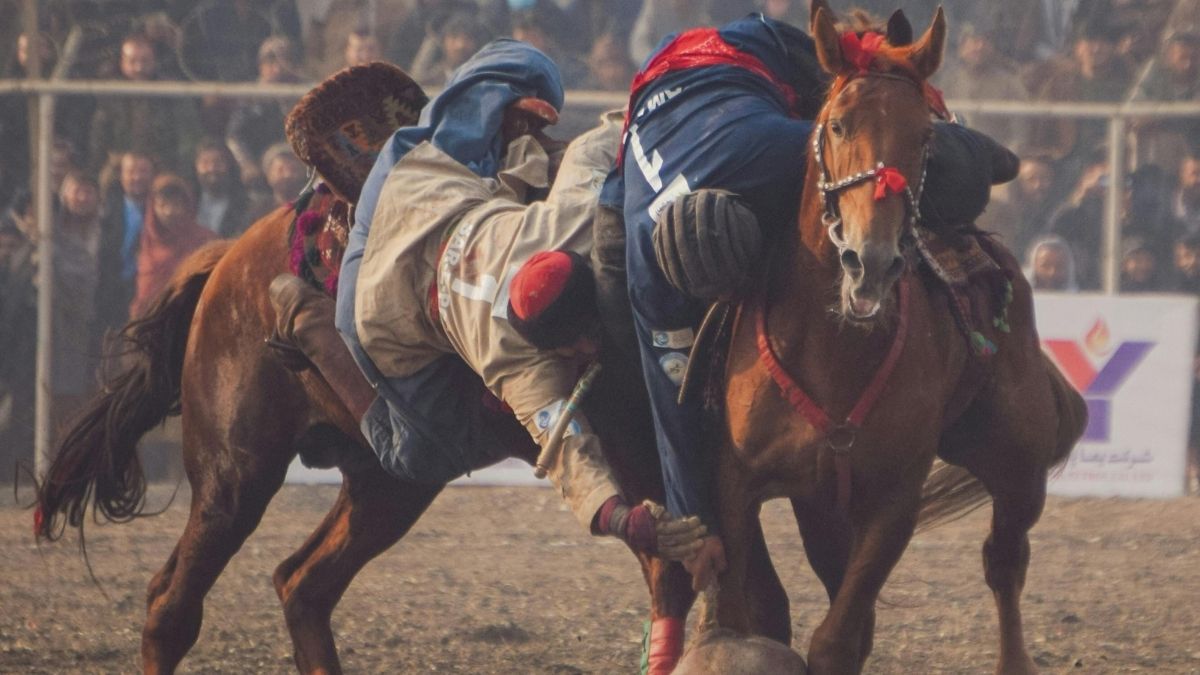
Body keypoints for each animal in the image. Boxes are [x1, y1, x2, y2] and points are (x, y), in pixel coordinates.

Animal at [31, 196, 718, 674]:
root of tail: (227, 260)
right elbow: (671, 568)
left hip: (388, 481)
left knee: (302, 585)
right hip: (235, 476)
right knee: (172, 605)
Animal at [713, 4, 1088, 675]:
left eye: (923, 138)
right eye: (837, 125)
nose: (873, 261)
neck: (833, 349)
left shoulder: (893, 501)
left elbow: (836, 639)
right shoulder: (737, 487)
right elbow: (742, 617)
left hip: (1017, 464)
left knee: (1005, 562)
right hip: (824, 505)